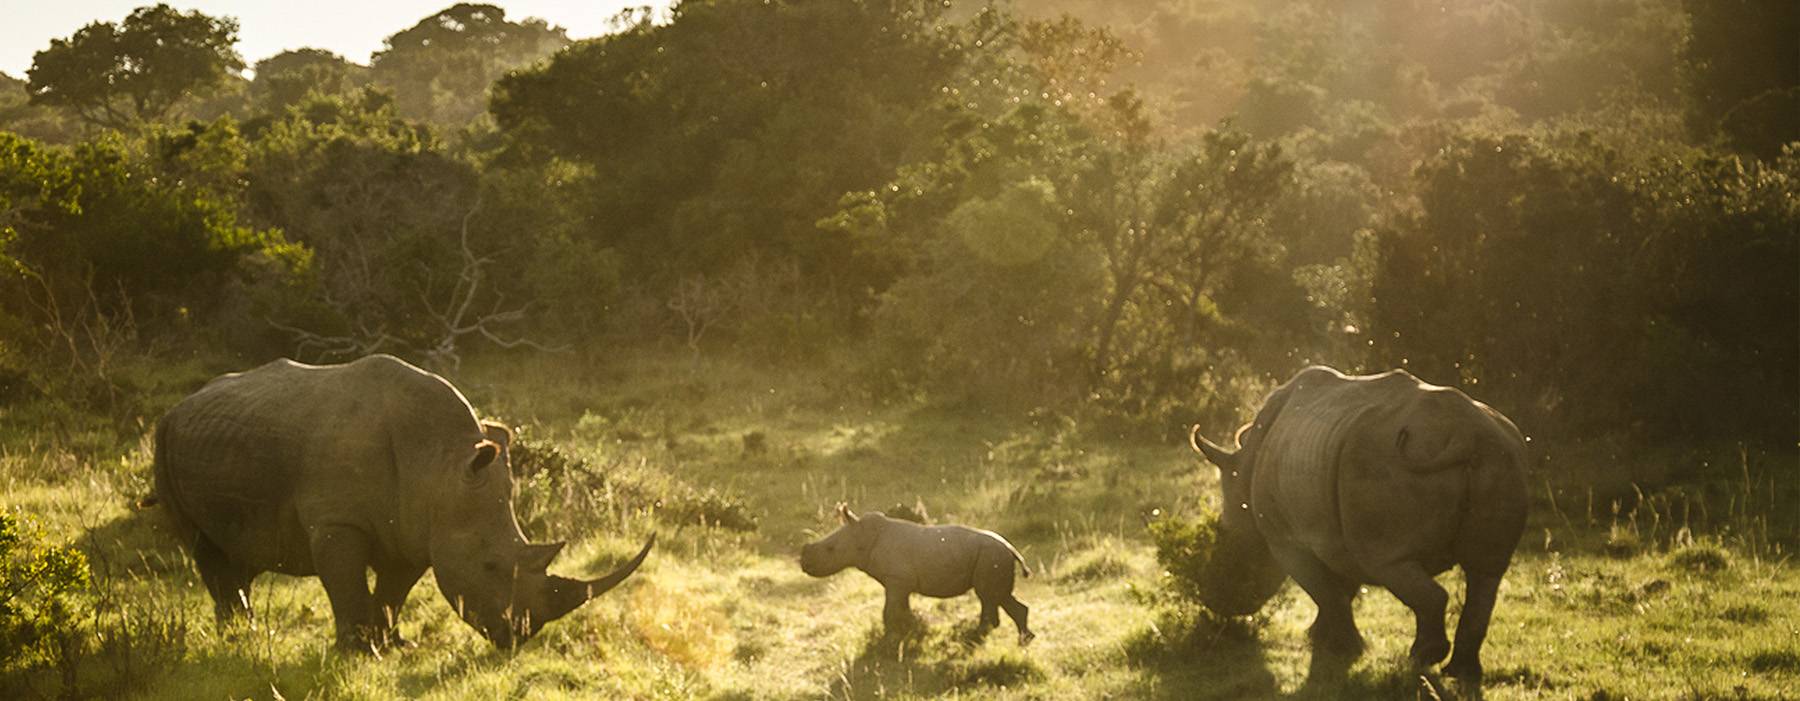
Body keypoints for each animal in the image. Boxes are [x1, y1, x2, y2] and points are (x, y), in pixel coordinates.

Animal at [149, 355, 655, 648]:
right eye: (490, 566)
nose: (519, 637)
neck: (440, 462)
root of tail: (182, 404)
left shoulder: (418, 528)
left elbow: (394, 592)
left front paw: (393, 645)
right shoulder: (338, 521)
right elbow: (347, 585)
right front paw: (358, 651)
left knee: (239, 551)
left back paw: (240, 633)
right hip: (164, 436)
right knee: (204, 548)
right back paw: (239, 638)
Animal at [806, 500, 1044, 645]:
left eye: (830, 549)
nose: (804, 562)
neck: (864, 536)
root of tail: (1012, 550)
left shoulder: (897, 580)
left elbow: (889, 611)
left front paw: (890, 639)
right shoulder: (899, 582)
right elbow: (901, 609)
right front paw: (908, 630)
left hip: (991, 556)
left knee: (989, 594)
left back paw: (1012, 639)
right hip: (991, 557)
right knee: (995, 596)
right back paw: (1009, 637)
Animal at [1188, 364, 1526, 681]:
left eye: (1225, 541)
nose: (1216, 600)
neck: (1244, 470)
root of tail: (1469, 438)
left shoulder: (1285, 540)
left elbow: (1326, 591)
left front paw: (1346, 649)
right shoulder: (1338, 533)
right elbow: (1339, 590)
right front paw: (1320, 639)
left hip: (1383, 464)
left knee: (1391, 564)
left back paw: (1421, 658)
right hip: (1500, 458)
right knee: (1486, 572)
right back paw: (1461, 672)